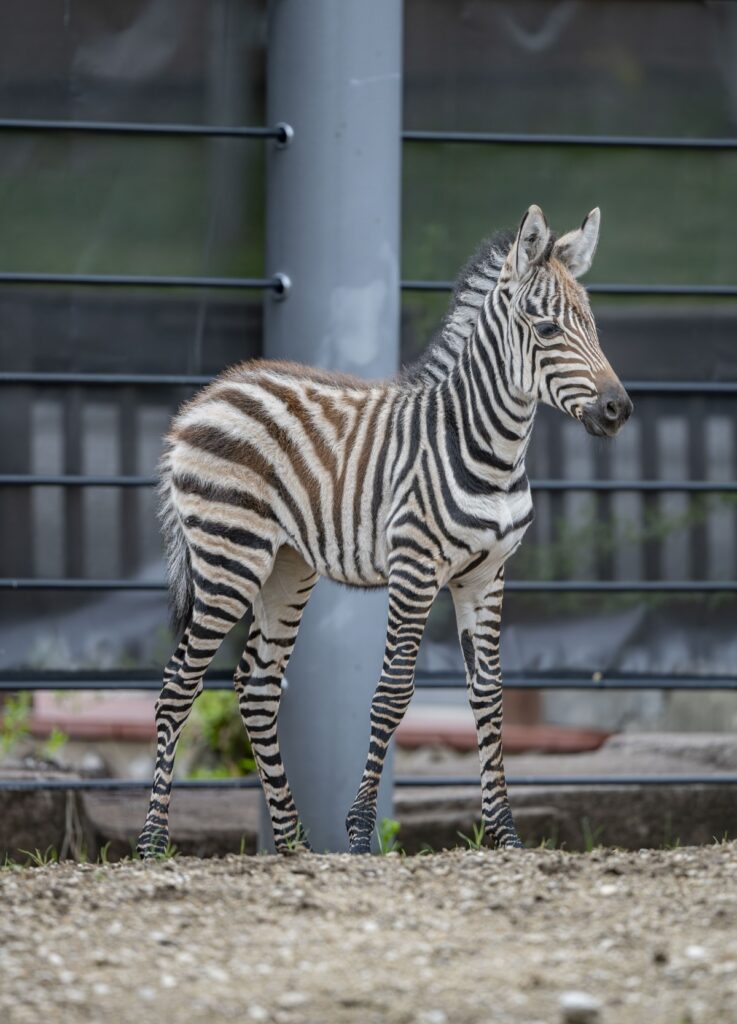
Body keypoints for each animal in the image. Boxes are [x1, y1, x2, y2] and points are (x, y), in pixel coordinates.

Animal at [137, 203, 632, 857]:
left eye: (593, 327)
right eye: (548, 331)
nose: (618, 410)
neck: (490, 449)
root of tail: (210, 393)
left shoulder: (487, 576)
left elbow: (490, 698)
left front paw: (504, 835)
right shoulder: (416, 569)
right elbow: (393, 693)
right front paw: (359, 832)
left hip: (287, 566)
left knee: (258, 688)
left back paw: (294, 845)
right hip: (229, 559)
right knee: (178, 687)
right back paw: (151, 843)